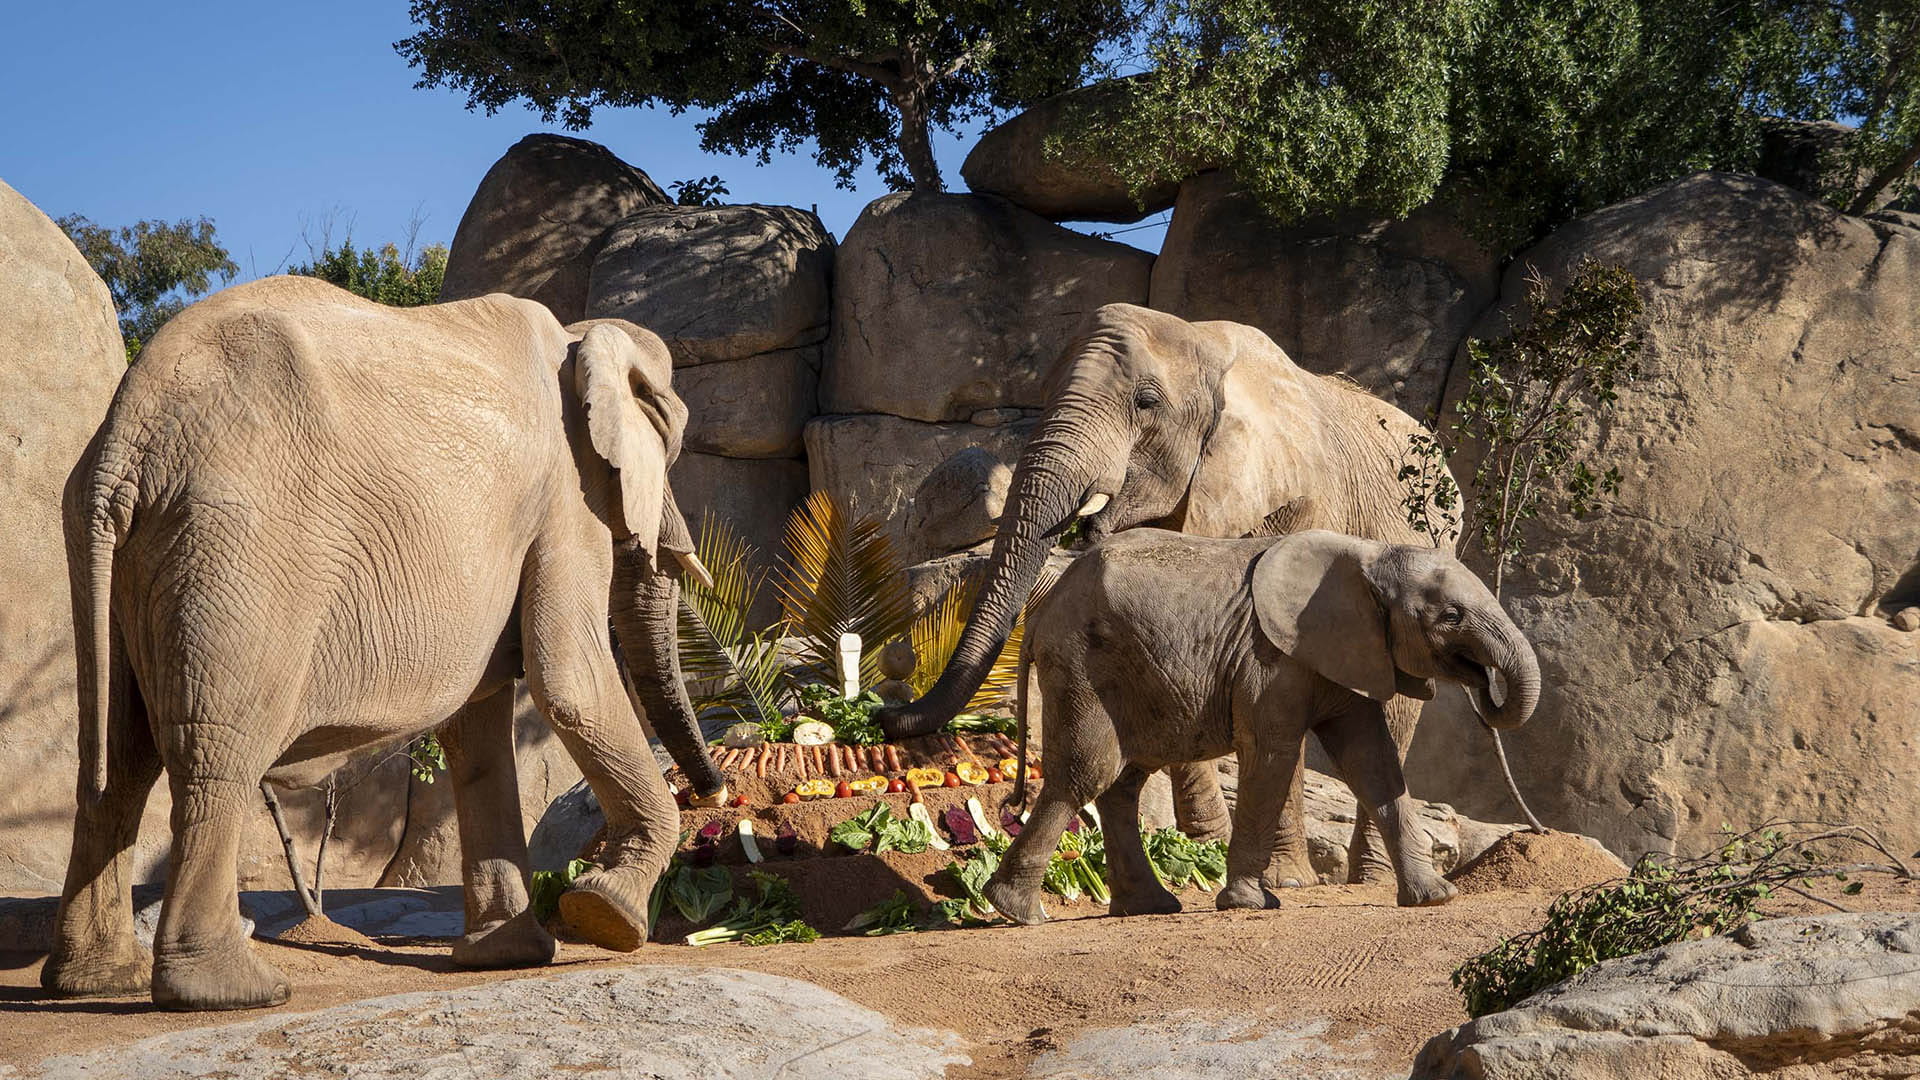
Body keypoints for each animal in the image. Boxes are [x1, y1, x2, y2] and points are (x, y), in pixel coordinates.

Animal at [42, 276, 724, 1011]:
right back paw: (232, 992)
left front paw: (506, 956)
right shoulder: (565, 495)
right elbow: (572, 682)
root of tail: (127, 432)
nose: (713, 796)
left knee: (116, 753)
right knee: (215, 749)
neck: (580, 337)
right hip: (234, 537)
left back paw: (95, 979)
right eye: (672, 440)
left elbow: (478, 725)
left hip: (109, 539)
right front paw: (605, 916)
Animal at [880, 302, 1457, 884]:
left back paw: (1372, 879)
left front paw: (1280, 878)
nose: (883, 719)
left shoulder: (1301, 502)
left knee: (1391, 713)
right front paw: (1207, 849)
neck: (1204, 342)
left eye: (1146, 403)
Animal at [984, 529, 1539, 924]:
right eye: (1451, 615)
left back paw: (1147, 907)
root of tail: (1039, 612)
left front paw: (1437, 898)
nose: (1483, 685)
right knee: (1087, 773)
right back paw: (1017, 912)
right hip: (1084, 664)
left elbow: (1371, 759)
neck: (1370, 555)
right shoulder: (1270, 660)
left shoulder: (1348, 651)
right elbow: (1272, 754)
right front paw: (1251, 903)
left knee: (1123, 781)